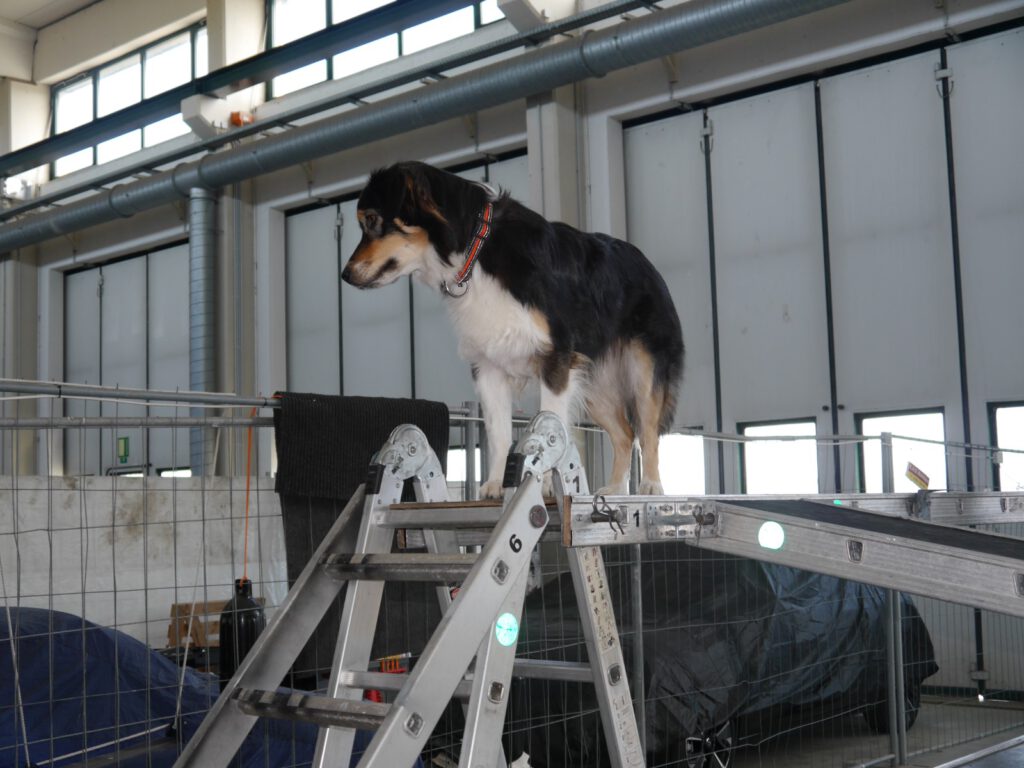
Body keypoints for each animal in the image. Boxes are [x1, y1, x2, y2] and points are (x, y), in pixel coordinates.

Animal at [341, 161, 684, 498]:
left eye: (371, 220)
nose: (344, 275)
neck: (475, 248)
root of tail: (647, 264)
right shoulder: (488, 365)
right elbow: (498, 433)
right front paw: (495, 484)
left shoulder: (556, 359)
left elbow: (551, 423)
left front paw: (542, 485)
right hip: (594, 382)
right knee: (625, 433)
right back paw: (613, 489)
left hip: (643, 369)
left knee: (647, 429)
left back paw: (651, 486)